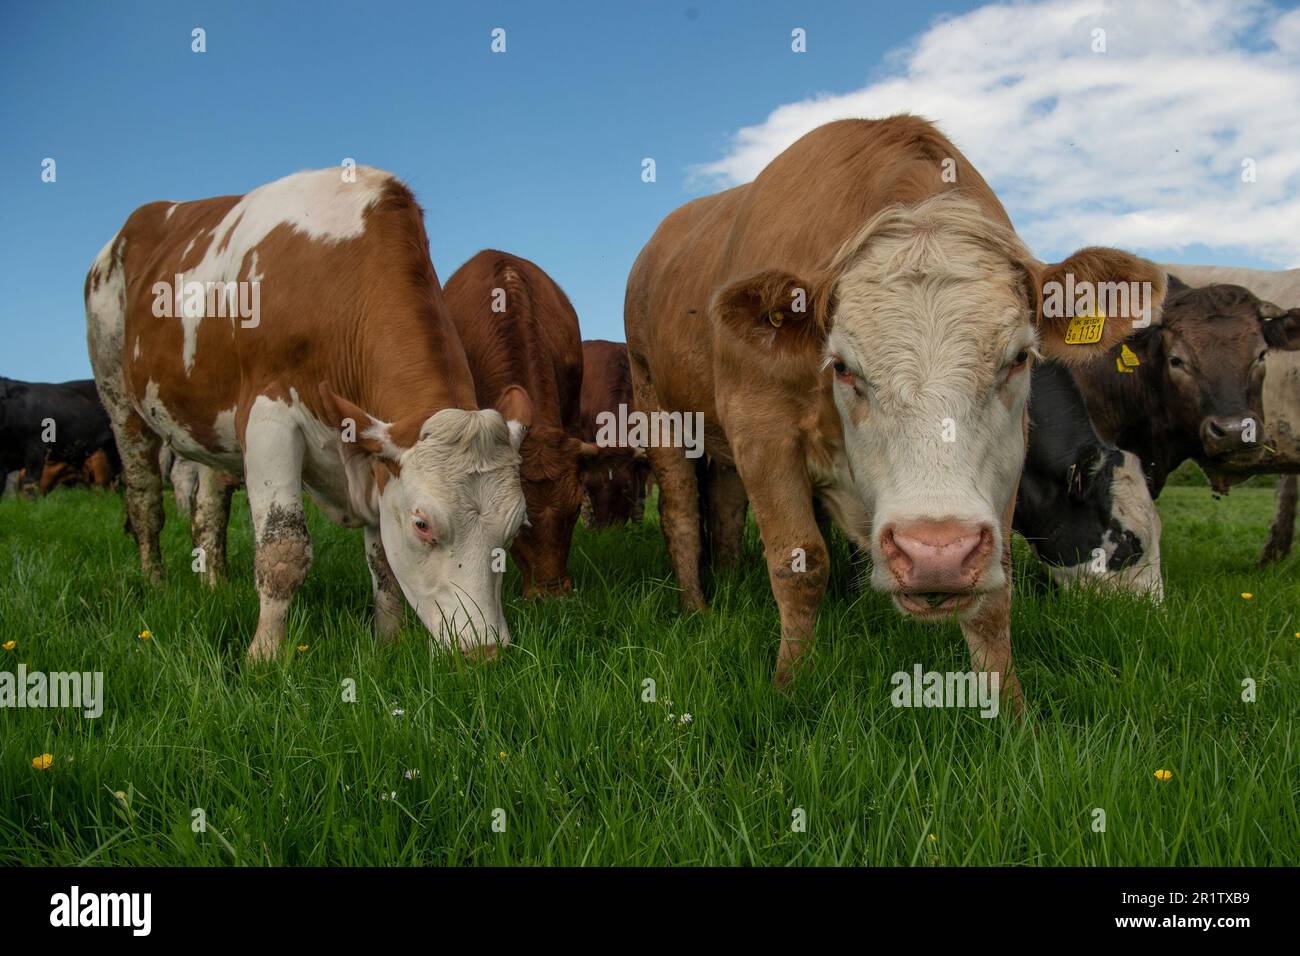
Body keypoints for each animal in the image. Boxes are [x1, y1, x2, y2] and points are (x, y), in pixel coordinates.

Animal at [624, 117, 1164, 702]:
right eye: (841, 366)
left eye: (1020, 357)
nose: (936, 554)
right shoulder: (759, 424)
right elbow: (799, 563)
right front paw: (789, 684)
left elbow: (995, 592)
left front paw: (1006, 703)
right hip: (659, 407)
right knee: (680, 513)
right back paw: (697, 607)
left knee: (724, 506)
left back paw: (728, 582)